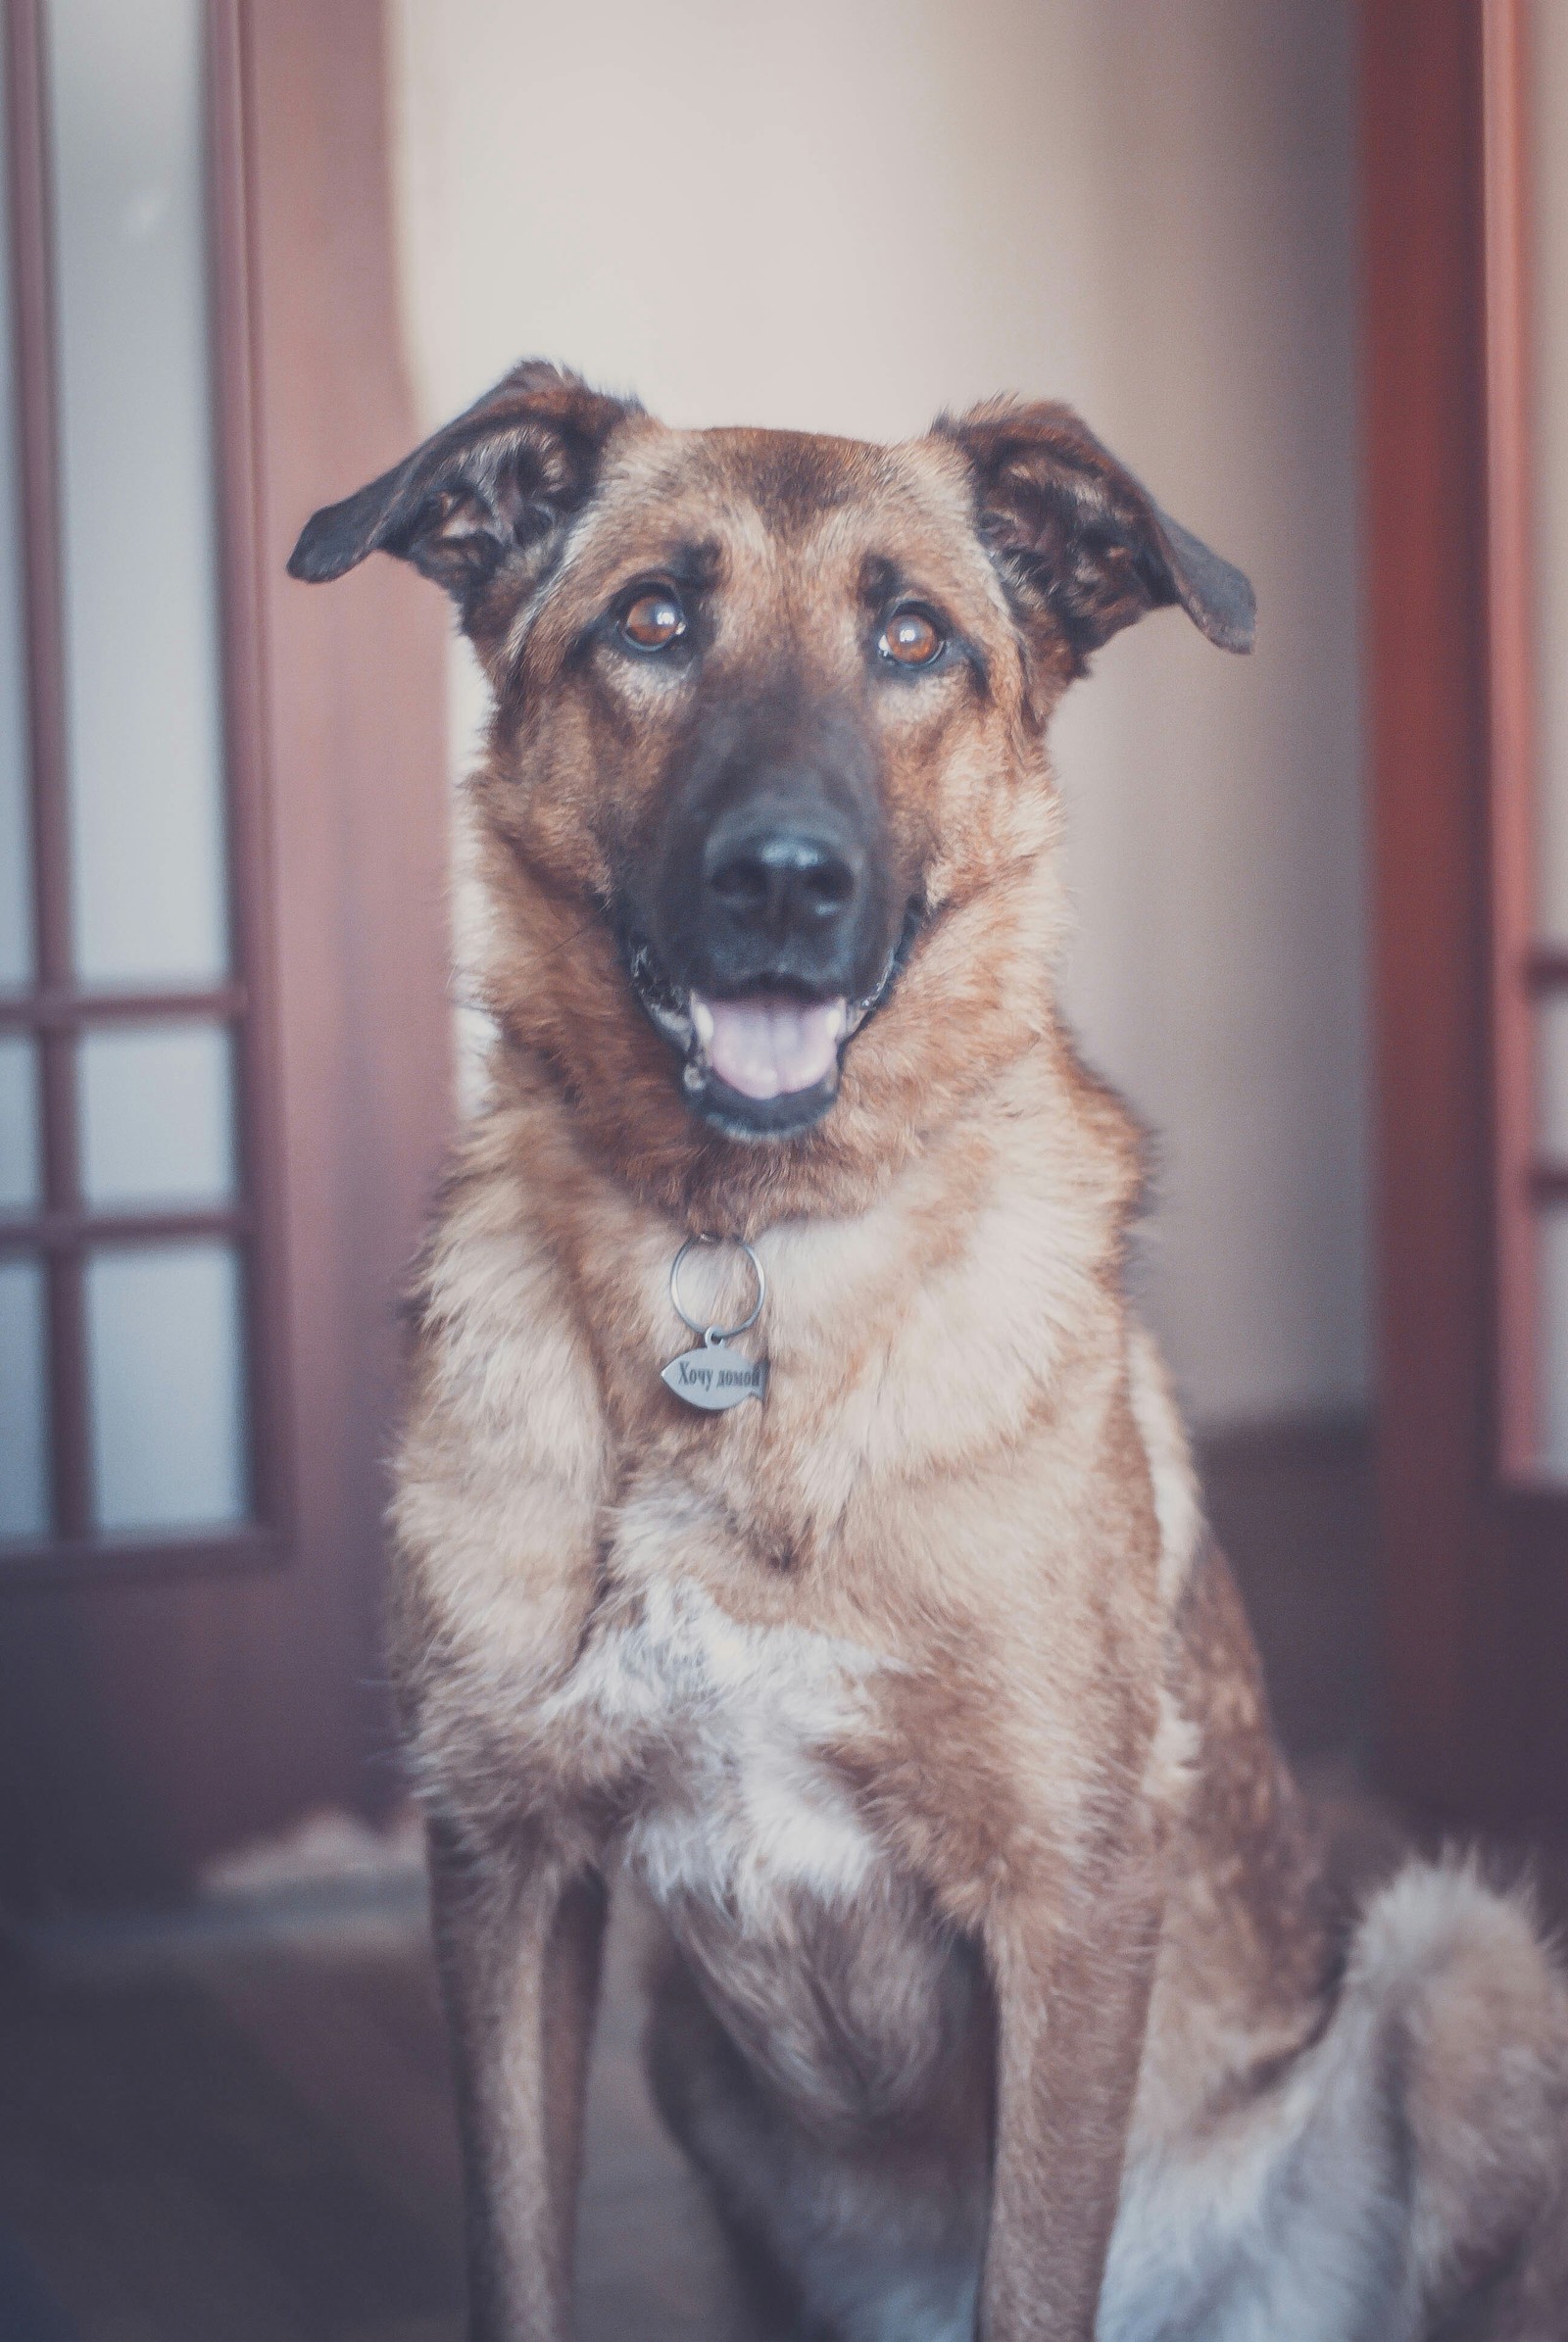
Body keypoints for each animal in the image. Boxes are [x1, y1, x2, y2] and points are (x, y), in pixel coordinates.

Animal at [290, 365, 1565, 2342]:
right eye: (652, 621)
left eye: (913, 640)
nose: (784, 885)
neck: (736, 1252)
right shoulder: (503, 1869)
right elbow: (520, 2260)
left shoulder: (1068, 1898)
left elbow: (1034, 2274)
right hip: (684, 2051)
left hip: (1468, 1960)